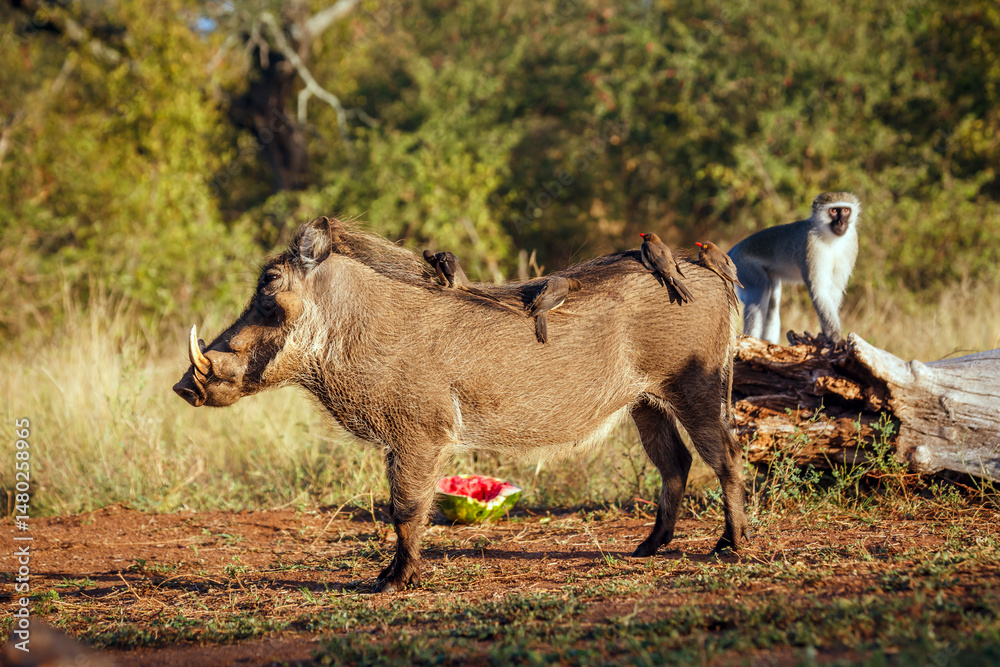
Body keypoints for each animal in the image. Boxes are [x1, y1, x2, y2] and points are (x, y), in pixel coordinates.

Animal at [727, 192, 860, 344]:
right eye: (833, 211)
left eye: (845, 210)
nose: (841, 223)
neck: (830, 237)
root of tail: (734, 249)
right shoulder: (811, 245)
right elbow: (819, 291)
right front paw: (836, 338)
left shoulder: (852, 241)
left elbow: (835, 290)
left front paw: (827, 334)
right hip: (743, 266)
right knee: (760, 290)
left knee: (772, 303)